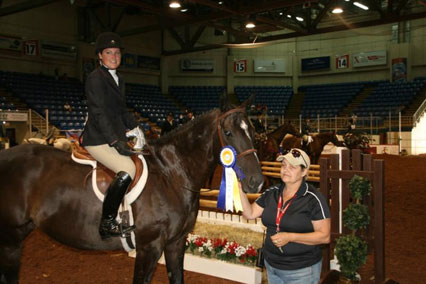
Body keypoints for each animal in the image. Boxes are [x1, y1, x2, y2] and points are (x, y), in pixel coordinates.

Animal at [0, 94, 262, 282]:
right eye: (228, 132)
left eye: (253, 131)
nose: (256, 181)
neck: (172, 174)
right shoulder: (149, 247)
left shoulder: (176, 243)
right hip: (10, 240)